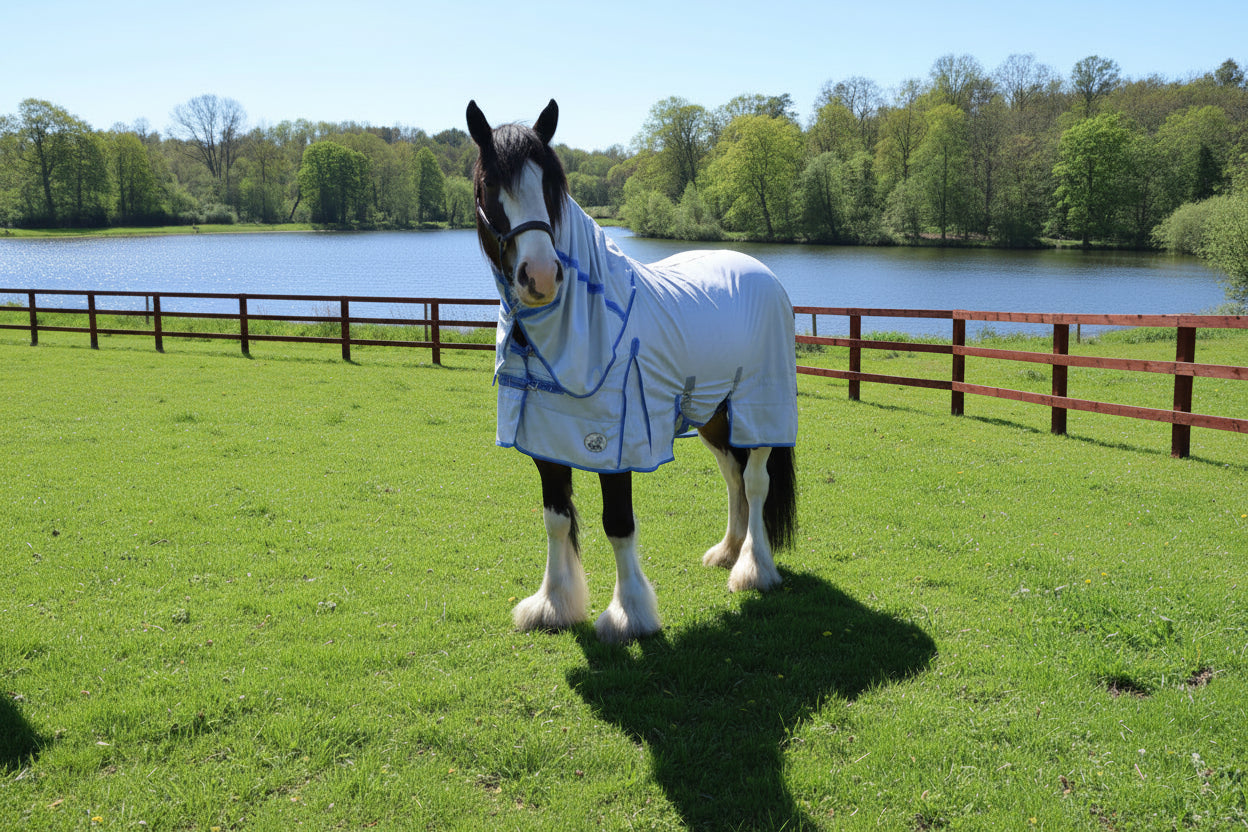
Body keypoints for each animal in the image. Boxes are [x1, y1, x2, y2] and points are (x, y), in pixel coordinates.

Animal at [467, 99, 798, 643]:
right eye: (490, 182)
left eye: (550, 184)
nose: (542, 276)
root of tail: (763, 272)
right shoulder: (546, 444)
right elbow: (556, 519)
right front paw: (553, 604)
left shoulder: (616, 445)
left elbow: (618, 523)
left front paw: (629, 615)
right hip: (713, 415)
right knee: (731, 475)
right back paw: (726, 551)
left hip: (759, 412)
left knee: (755, 481)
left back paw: (752, 570)